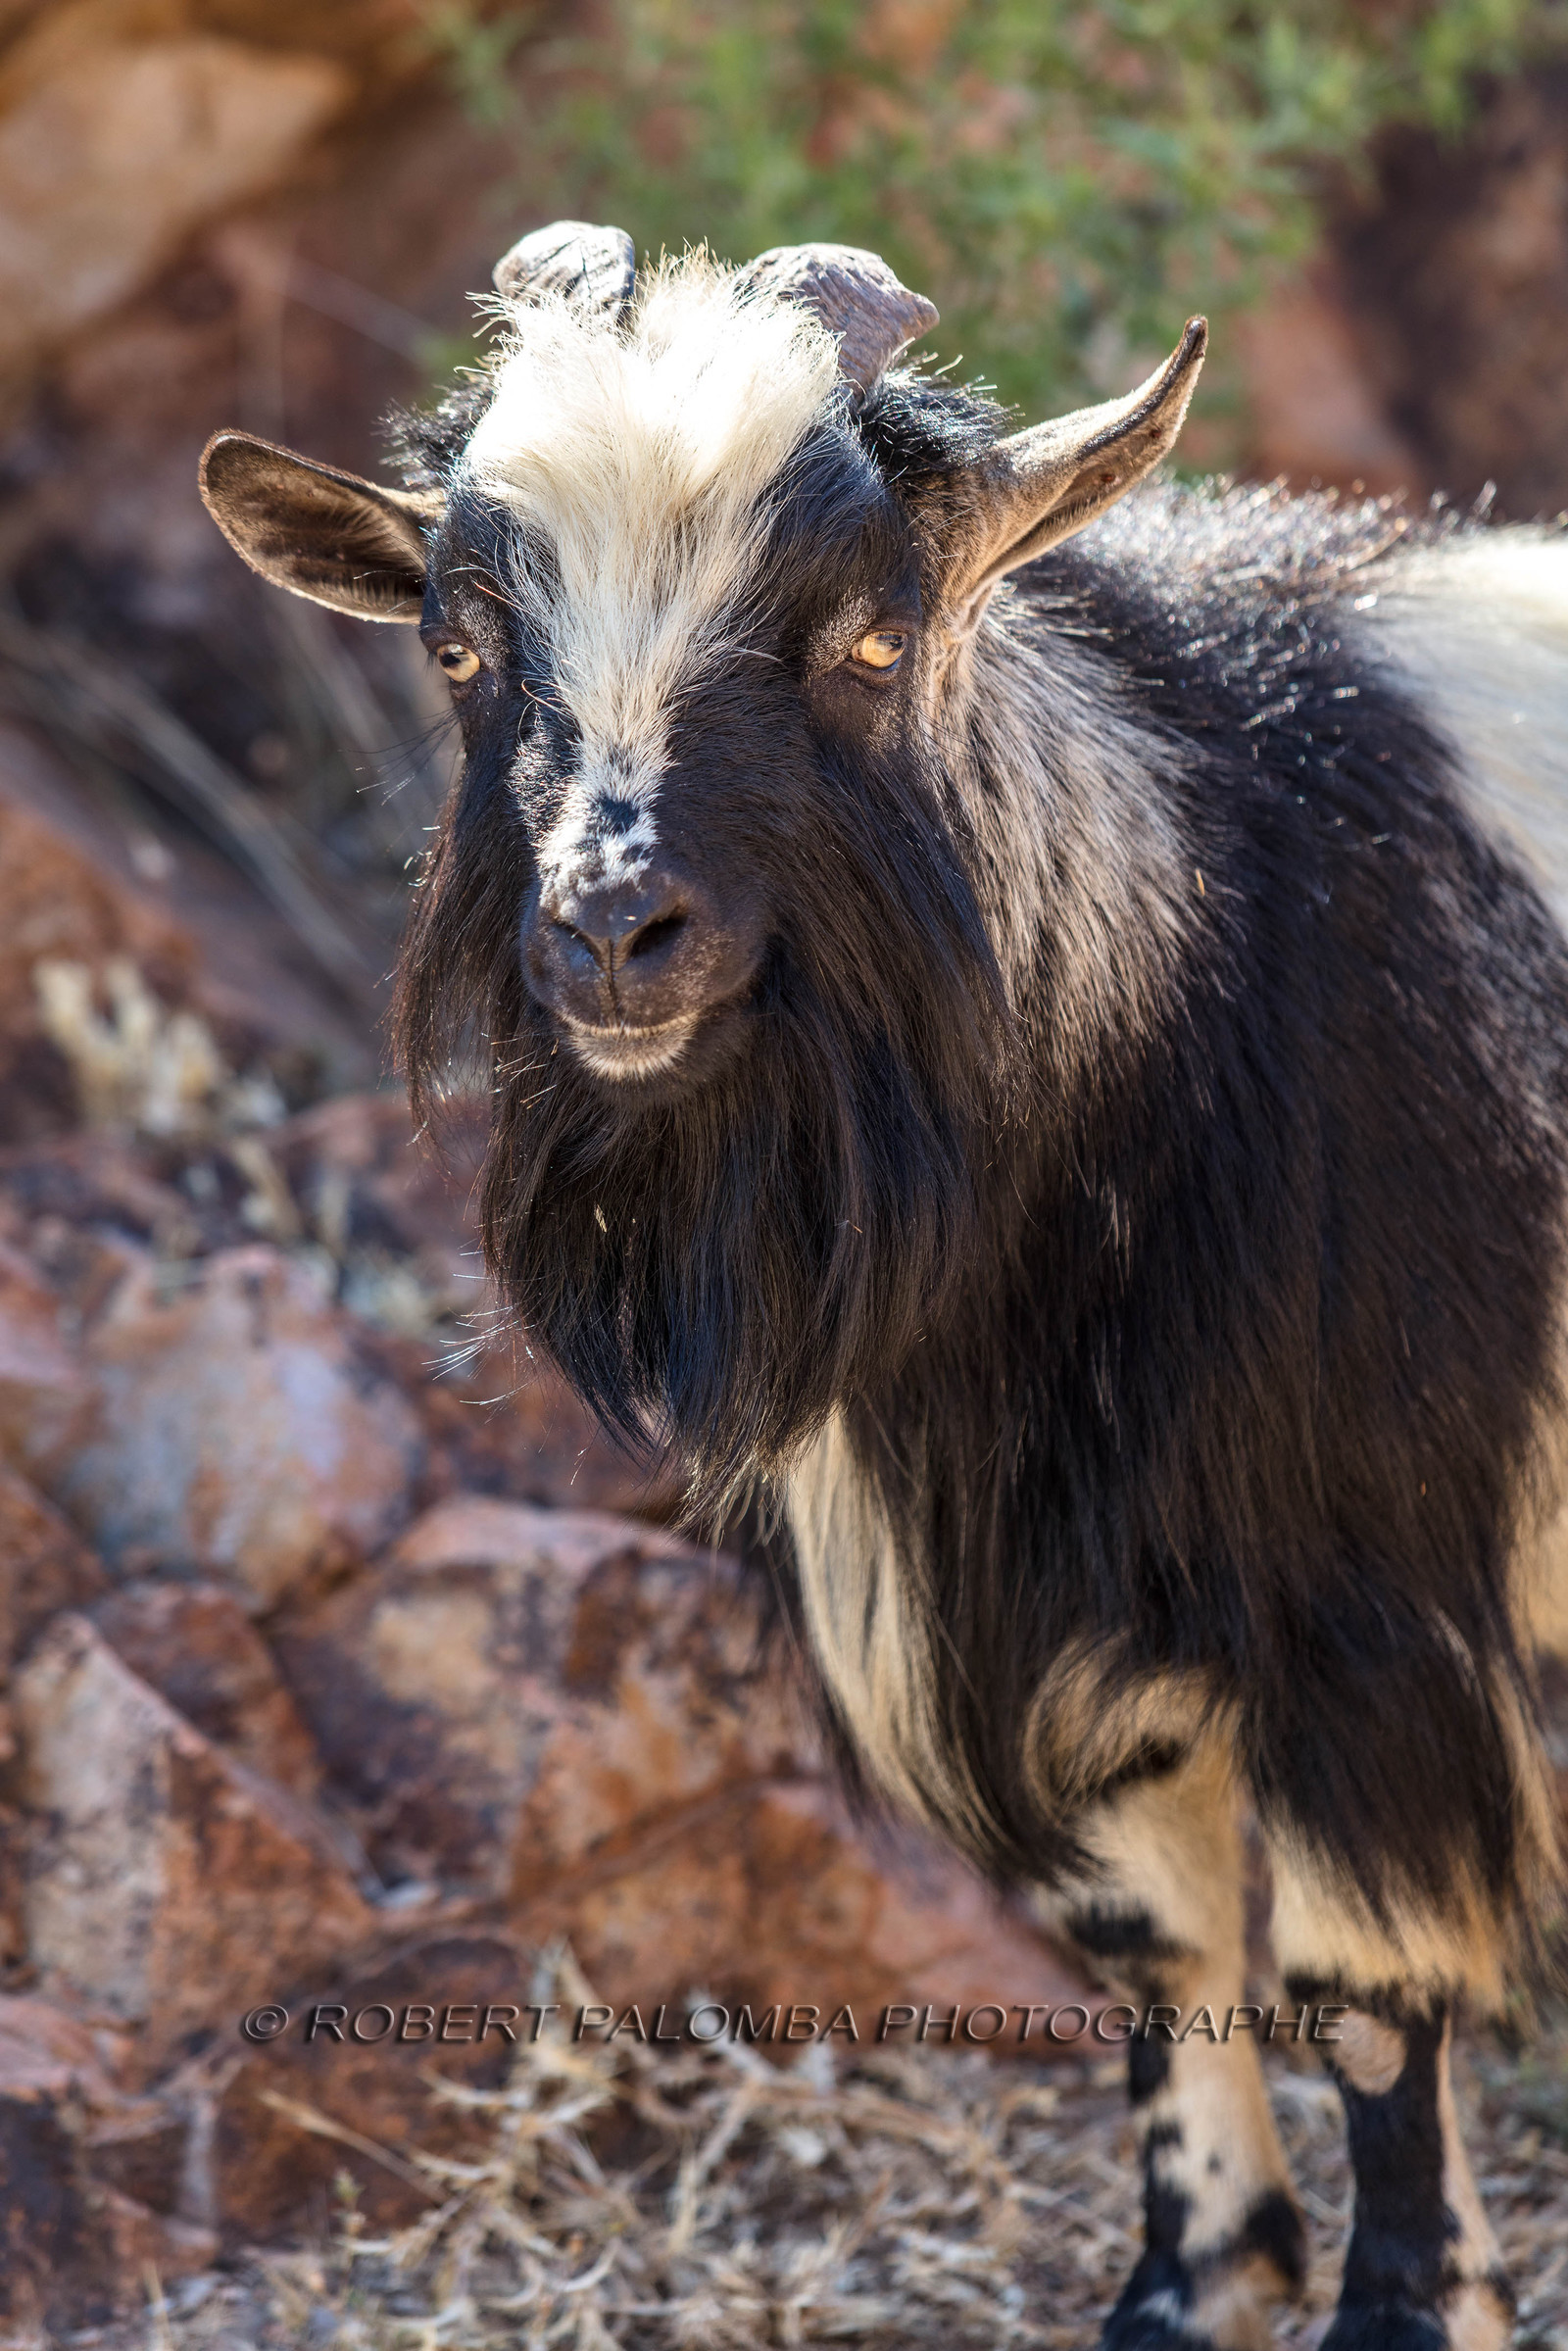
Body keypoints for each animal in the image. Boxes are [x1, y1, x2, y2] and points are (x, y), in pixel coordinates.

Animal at [200, 221, 1568, 2350]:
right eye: (461, 644)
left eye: (865, 633)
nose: (613, 928)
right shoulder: (1018, 1591)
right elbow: (1148, 1936)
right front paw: (1187, 2284)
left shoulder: (1375, 1596)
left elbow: (1363, 1991)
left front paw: (1407, 2312)